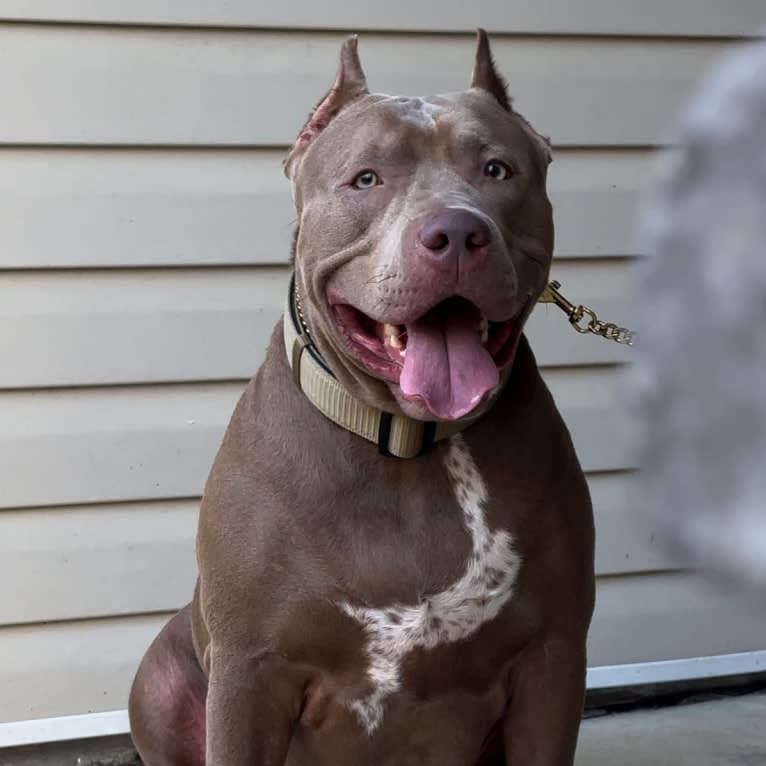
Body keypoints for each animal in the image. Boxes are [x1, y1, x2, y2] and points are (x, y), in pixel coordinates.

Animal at [129, 30, 596, 766]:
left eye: (497, 170)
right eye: (367, 179)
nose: (456, 234)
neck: (407, 444)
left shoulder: (553, 659)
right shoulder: (246, 671)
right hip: (159, 677)